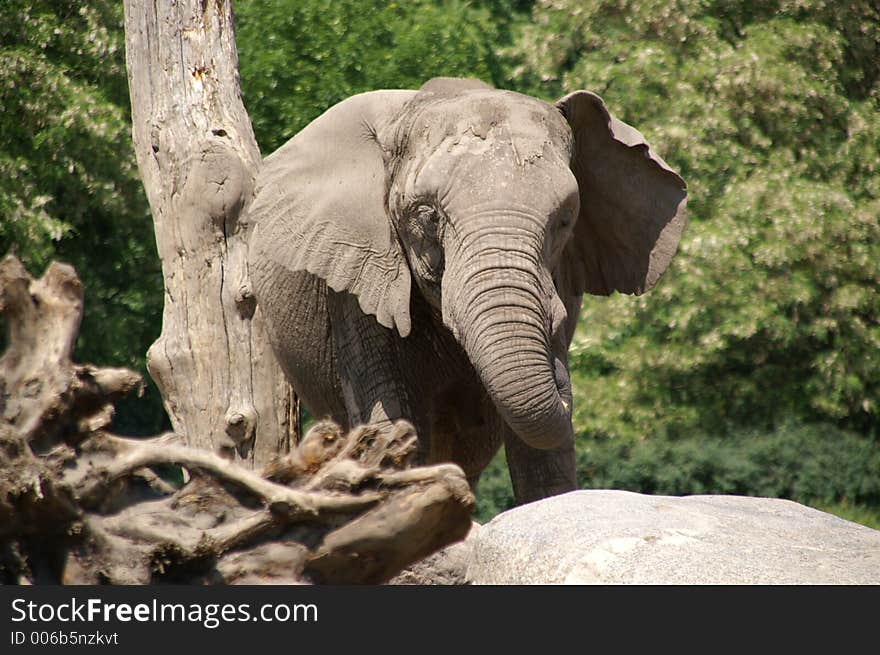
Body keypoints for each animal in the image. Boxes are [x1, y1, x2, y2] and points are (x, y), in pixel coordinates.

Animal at [248, 79, 688, 504]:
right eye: (427, 216)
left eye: (565, 220)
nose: (560, 370)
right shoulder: (356, 276)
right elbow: (390, 412)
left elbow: (539, 454)